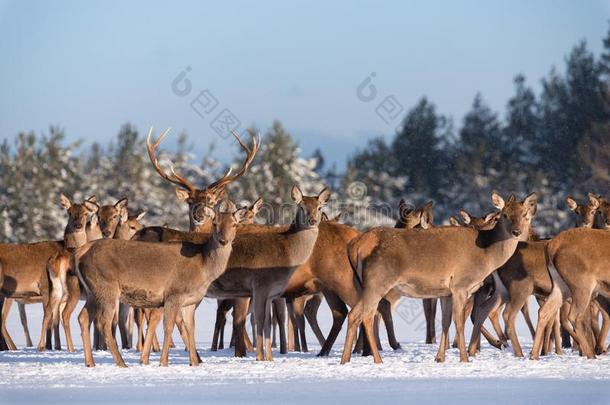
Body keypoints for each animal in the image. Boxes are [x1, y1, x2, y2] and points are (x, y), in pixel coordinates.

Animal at [340, 192, 536, 362]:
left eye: (524, 214)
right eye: (504, 215)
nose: (516, 232)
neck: (486, 255)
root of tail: (355, 245)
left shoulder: (446, 292)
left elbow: (445, 321)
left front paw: (440, 357)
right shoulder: (460, 285)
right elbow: (458, 321)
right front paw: (464, 359)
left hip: (364, 284)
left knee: (360, 314)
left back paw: (347, 360)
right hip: (377, 282)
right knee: (362, 314)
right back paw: (375, 359)